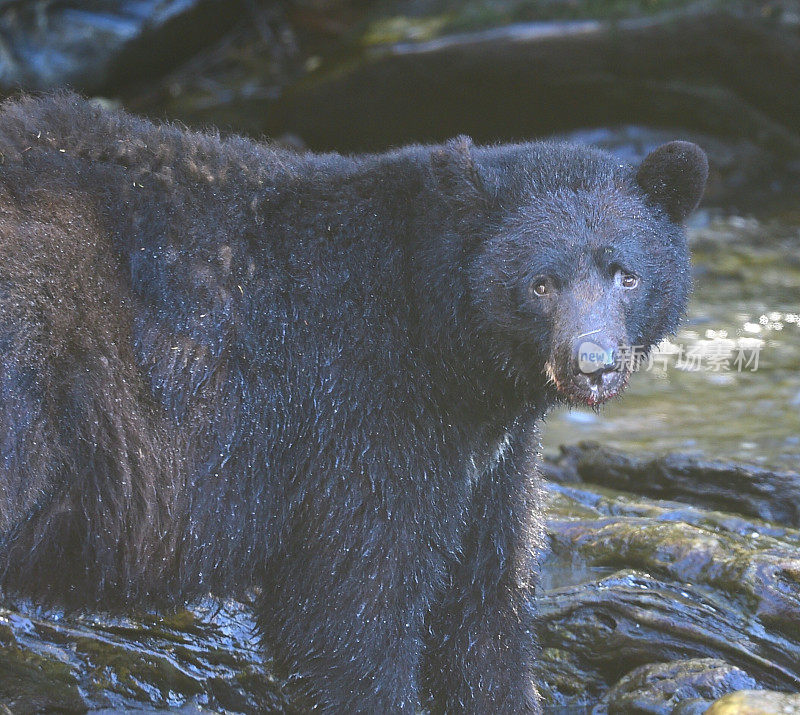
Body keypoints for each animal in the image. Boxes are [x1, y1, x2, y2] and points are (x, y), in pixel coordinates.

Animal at [0, 92, 704, 712]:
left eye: (627, 274)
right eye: (540, 283)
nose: (593, 362)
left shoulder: (487, 459)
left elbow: (483, 604)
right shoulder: (361, 409)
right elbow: (352, 606)